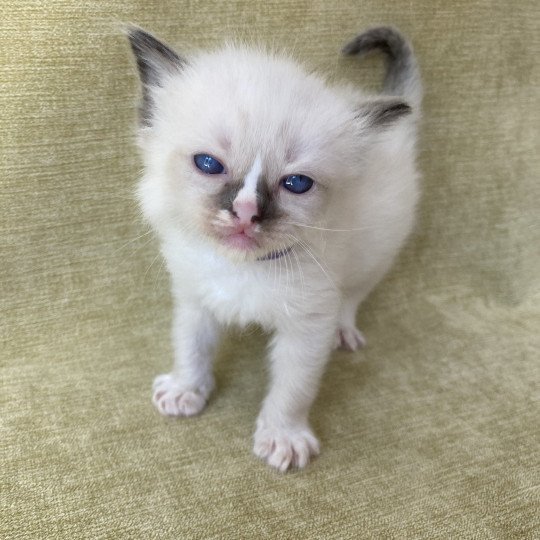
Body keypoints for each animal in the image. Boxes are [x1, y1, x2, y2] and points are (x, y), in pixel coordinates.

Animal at [127, 26, 422, 472]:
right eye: (209, 164)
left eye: (296, 183)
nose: (246, 212)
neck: (244, 268)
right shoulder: (196, 300)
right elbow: (191, 348)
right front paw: (186, 390)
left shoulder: (307, 327)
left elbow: (293, 389)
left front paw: (284, 437)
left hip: (377, 251)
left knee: (353, 296)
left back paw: (344, 330)